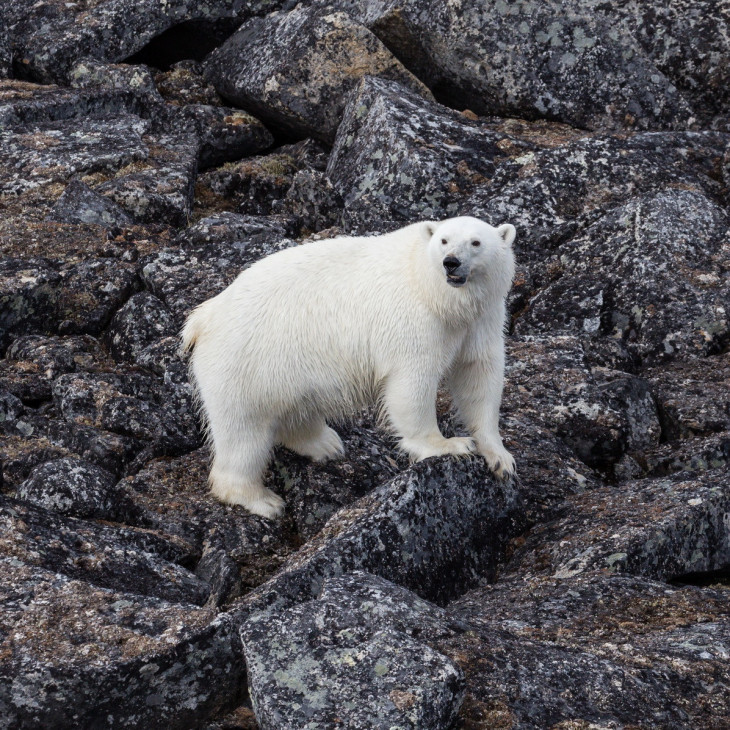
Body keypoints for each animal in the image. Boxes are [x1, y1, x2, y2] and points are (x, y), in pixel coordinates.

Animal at [181, 216, 512, 516]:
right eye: (443, 240)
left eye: (476, 242)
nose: (451, 262)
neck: (434, 292)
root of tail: (202, 319)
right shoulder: (415, 320)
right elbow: (411, 384)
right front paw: (450, 445)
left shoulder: (481, 319)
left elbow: (479, 374)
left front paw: (499, 457)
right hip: (244, 366)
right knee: (244, 433)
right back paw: (261, 500)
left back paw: (324, 443)